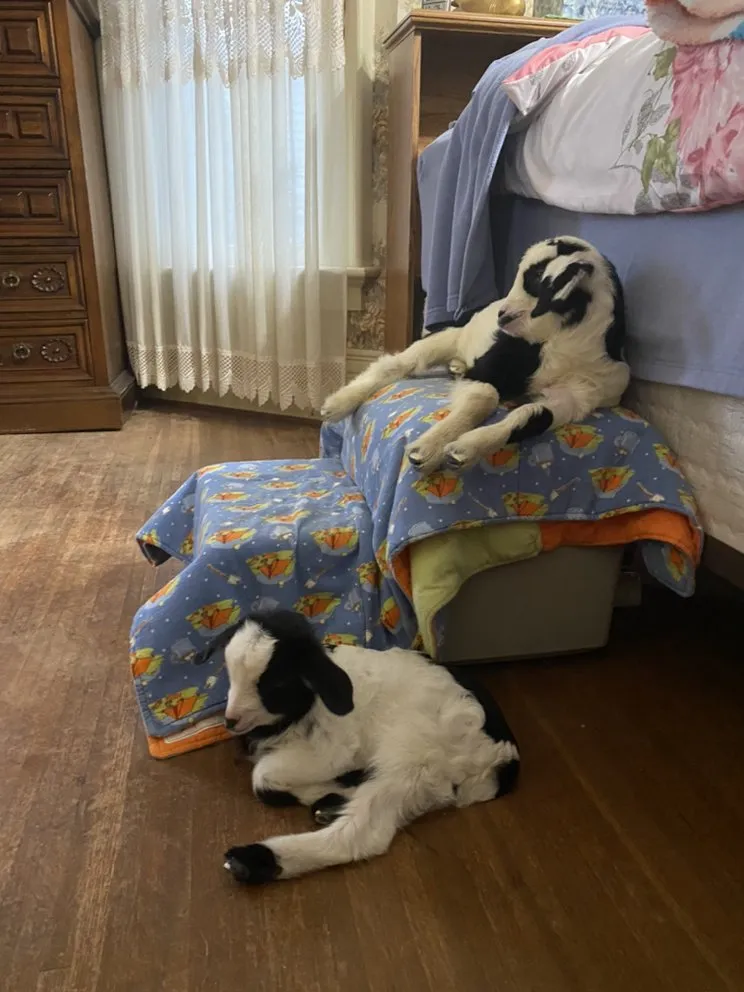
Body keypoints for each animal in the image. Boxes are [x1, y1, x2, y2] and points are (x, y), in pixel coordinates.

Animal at [194, 610, 519, 884]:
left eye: (275, 685)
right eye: (230, 674)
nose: (230, 721)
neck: (307, 705)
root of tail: (504, 757)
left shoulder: (334, 750)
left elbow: (261, 778)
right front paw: (331, 793)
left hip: (412, 753)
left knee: (363, 835)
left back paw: (254, 860)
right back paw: (331, 804)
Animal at [321, 236, 630, 475]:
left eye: (533, 279)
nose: (501, 315)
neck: (565, 345)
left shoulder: (578, 395)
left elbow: (533, 415)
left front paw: (465, 449)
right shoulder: (488, 369)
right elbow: (485, 396)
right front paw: (429, 449)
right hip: (448, 337)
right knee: (395, 364)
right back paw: (337, 403)